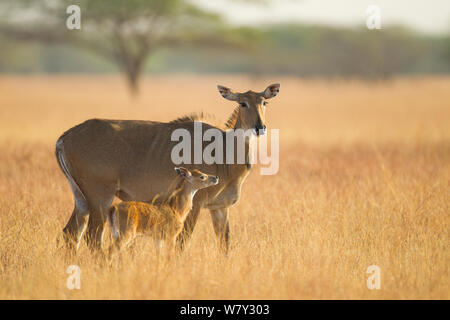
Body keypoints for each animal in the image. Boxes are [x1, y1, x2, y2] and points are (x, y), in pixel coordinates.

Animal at [56, 82, 280, 252]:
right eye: (242, 103)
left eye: (264, 102)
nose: (260, 127)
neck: (223, 151)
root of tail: (64, 138)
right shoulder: (195, 205)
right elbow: (182, 242)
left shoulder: (219, 208)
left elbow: (224, 244)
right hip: (100, 198)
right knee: (93, 237)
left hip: (82, 199)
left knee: (70, 233)